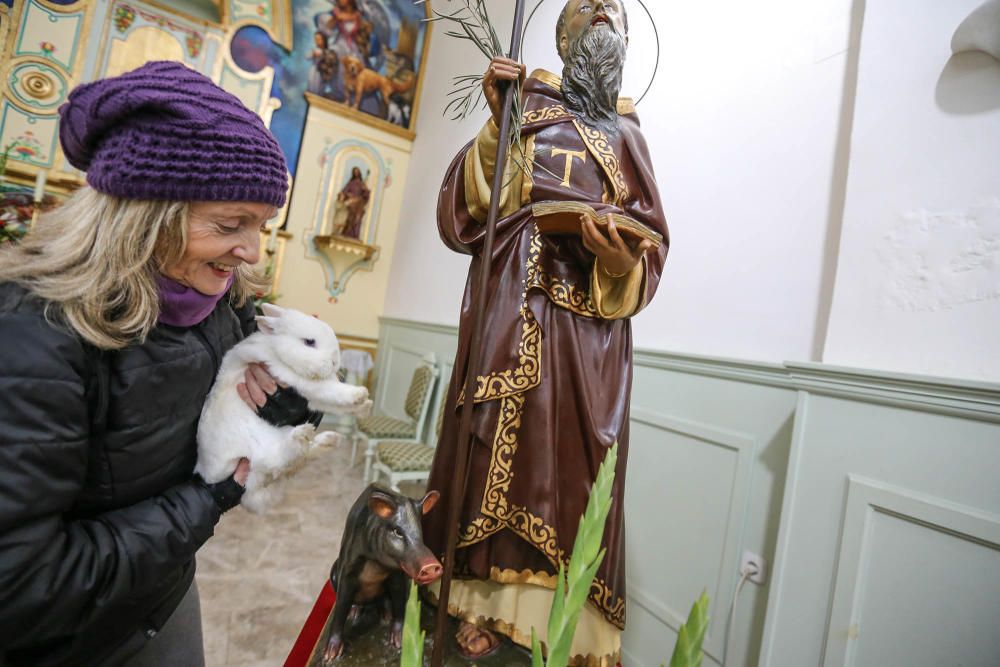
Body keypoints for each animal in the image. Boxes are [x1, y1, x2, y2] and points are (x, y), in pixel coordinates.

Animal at [194, 306, 372, 516]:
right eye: (309, 342)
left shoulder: (310, 397)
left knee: (301, 458)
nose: (335, 362)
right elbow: (329, 390)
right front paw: (360, 393)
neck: (275, 349)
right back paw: (304, 435)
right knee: (280, 459)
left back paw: (329, 439)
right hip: (259, 445)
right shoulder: (295, 379)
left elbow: (331, 402)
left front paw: (365, 407)